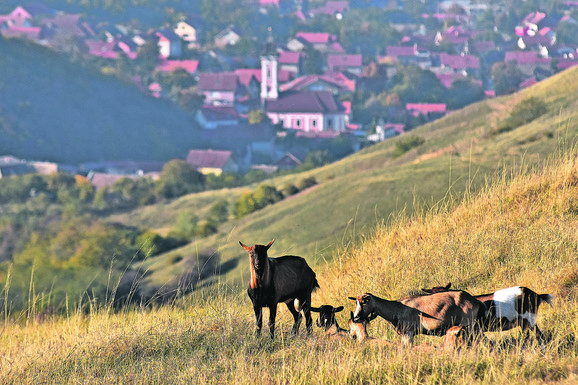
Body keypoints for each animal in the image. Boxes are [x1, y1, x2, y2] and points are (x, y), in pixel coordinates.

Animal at [348, 290, 484, 344]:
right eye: (356, 302)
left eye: (364, 302)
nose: (356, 318)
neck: (397, 309)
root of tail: (475, 301)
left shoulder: (408, 332)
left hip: (469, 324)